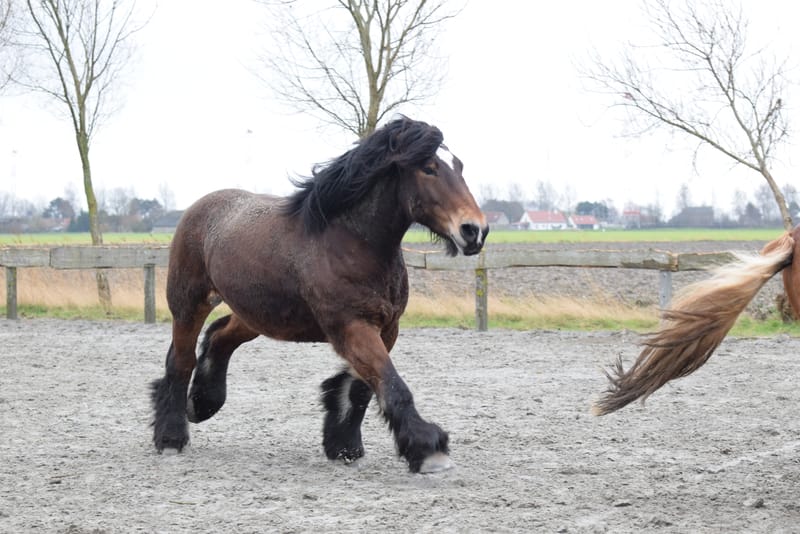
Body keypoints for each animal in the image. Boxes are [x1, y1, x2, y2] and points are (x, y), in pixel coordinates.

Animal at [149, 117, 489, 473]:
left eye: (459, 166)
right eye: (429, 168)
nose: (474, 230)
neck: (350, 242)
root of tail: (200, 207)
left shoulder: (386, 328)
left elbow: (361, 388)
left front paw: (344, 445)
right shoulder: (353, 325)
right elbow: (392, 384)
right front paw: (428, 448)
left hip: (257, 316)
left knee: (219, 337)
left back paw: (202, 403)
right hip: (189, 304)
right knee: (181, 360)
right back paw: (171, 437)